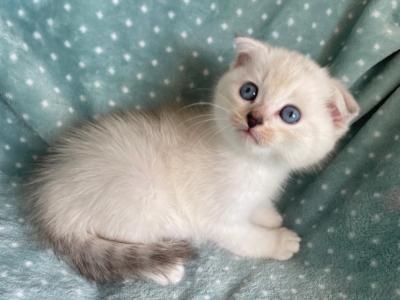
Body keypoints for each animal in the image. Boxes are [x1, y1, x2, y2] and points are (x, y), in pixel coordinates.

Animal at [28, 37, 360, 286]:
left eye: (290, 114)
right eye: (249, 91)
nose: (253, 118)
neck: (255, 165)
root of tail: (50, 201)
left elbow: (258, 207)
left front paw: (269, 215)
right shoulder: (219, 221)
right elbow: (250, 239)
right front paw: (280, 241)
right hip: (143, 200)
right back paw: (164, 269)